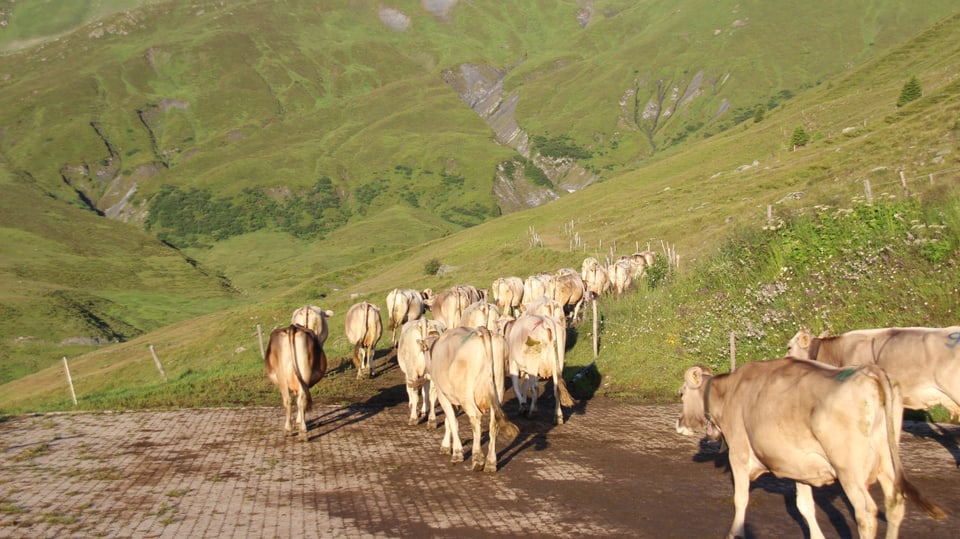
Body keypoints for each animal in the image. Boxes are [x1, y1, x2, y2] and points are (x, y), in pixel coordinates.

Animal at [420, 324, 520, 472]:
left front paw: (457, 452)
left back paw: (478, 459)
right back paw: (490, 462)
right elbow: (449, 421)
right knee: (493, 424)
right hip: (498, 392)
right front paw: (446, 446)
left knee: (476, 421)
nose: (425, 374)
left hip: (467, 397)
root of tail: (482, 331)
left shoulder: (443, 395)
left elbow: (452, 421)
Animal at [676, 358, 944, 539]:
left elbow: (740, 499)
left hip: (849, 469)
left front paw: (735, 532)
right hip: (887, 461)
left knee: (866, 512)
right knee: (895, 504)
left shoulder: (739, 453)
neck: (730, 392)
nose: (679, 422)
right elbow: (804, 507)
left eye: (681, 394)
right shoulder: (799, 466)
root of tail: (869, 371)